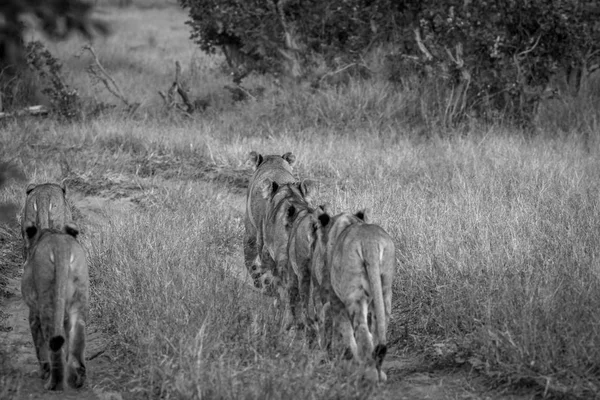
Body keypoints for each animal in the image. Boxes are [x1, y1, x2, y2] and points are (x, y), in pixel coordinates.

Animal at [21, 222, 88, 390]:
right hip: (79, 300)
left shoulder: (33, 312)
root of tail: (61, 246)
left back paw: (53, 383)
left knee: (53, 345)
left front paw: (43, 371)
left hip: (46, 303)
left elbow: (39, 346)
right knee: (77, 339)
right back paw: (77, 378)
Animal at [312, 209, 396, 382]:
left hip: (354, 295)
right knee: (378, 331)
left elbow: (345, 331)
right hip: (384, 290)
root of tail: (369, 241)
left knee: (363, 333)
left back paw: (368, 373)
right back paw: (379, 373)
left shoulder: (335, 299)